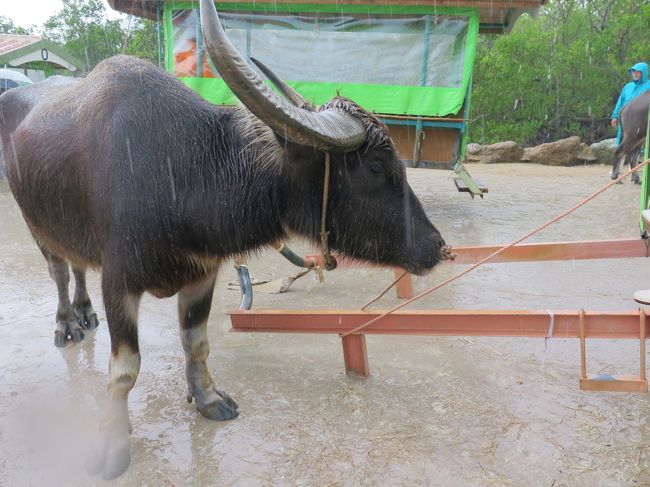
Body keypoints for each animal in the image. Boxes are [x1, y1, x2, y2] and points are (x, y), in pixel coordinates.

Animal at [0, 0, 448, 480]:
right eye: (377, 167)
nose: (437, 246)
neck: (185, 171)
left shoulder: (203, 274)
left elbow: (196, 342)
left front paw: (208, 398)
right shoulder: (119, 282)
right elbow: (124, 369)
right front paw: (112, 442)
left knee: (79, 264)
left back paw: (86, 315)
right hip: (36, 225)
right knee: (60, 272)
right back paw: (68, 323)